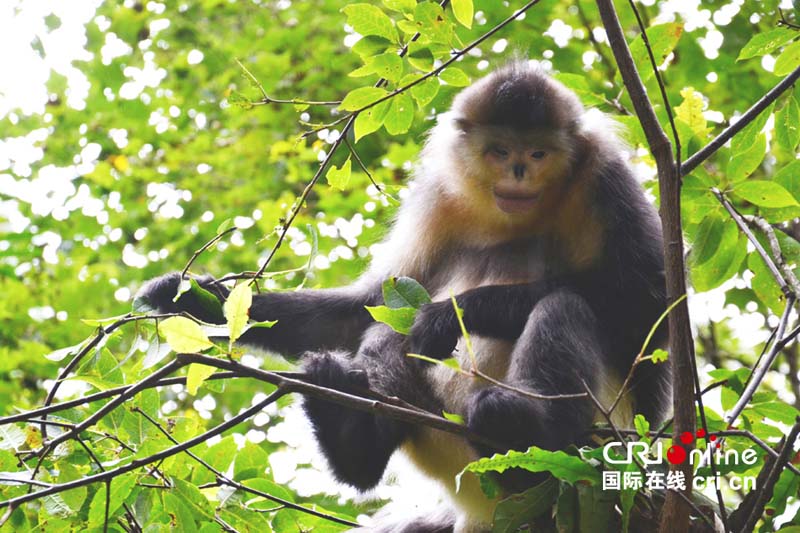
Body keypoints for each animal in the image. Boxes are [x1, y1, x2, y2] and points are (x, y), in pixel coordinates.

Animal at [138, 61, 669, 533]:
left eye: (538, 155)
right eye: (500, 151)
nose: (519, 171)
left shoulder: (605, 174)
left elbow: (645, 310)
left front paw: (450, 315)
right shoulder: (439, 195)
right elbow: (367, 308)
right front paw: (196, 300)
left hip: (609, 435)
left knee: (566, 307)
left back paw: (522, 430)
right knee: (383, 337)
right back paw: (350, 441)